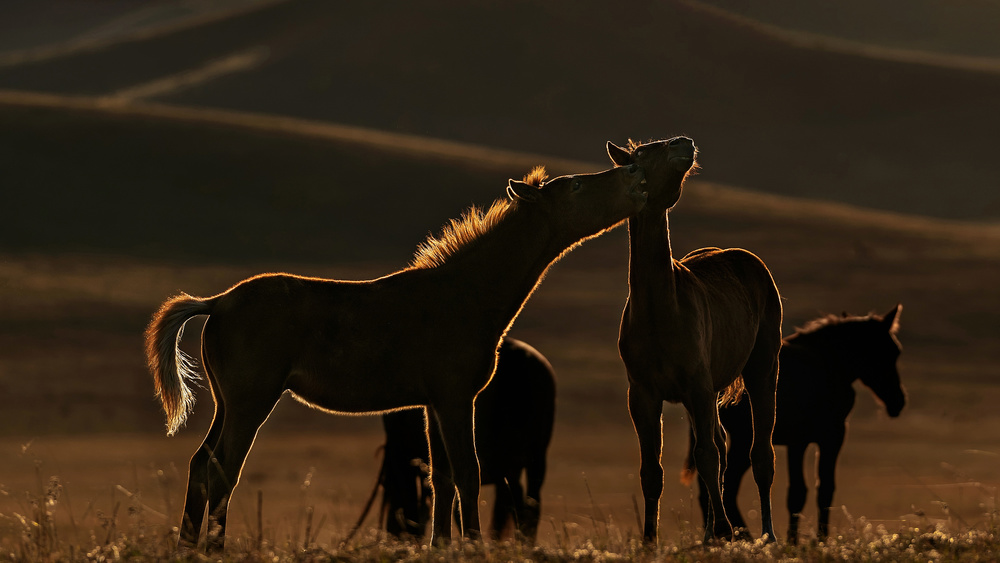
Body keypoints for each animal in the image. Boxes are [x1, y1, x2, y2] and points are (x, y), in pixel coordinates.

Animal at [604, 134, 784, 544]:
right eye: (640, 155)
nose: (682, 143)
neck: (659, 314)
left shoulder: (698, 387)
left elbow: (707, 457)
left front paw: (724, 530)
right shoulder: (644, 394)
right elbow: (652, 469)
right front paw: (650, 539)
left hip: (762, 370)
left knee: (759, 454)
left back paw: (766, 533)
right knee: (720, 444)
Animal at [688, 306, 908, 544]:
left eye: (896, 352)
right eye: (884, 352)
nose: (898, 402)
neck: (828, 363)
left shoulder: (807, 441)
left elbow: (807, 491)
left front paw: (801, 540)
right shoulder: (822, 437)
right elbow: (811, 490)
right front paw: (810, 541)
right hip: (744, 439)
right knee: (727, 487)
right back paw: (744, 536)